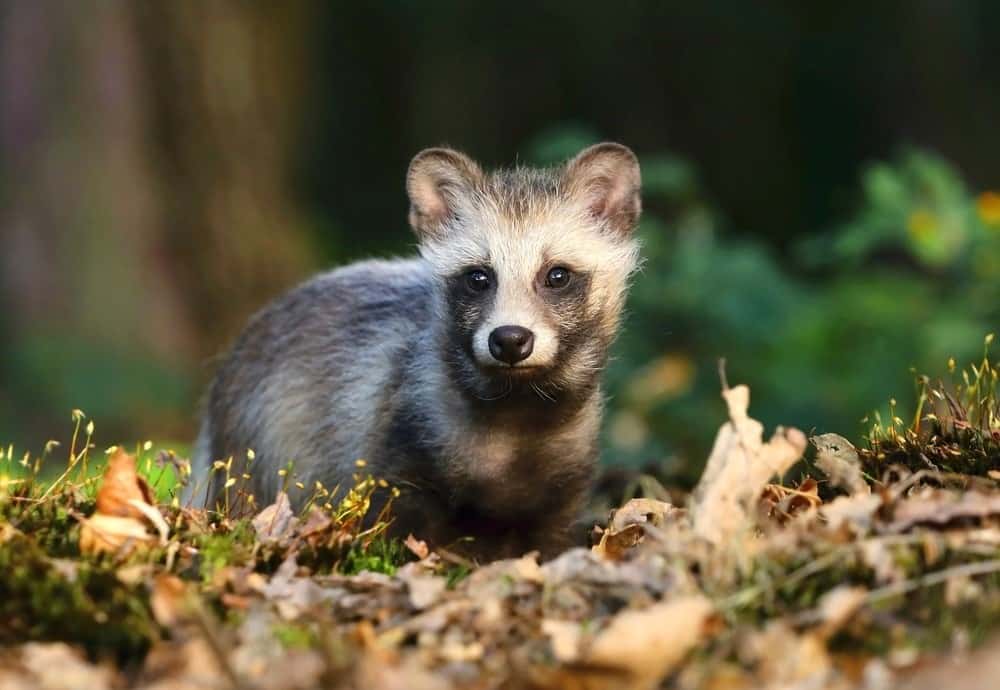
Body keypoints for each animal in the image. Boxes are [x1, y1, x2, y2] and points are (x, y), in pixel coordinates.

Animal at [189, 142, 640, 556]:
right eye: (478, 277)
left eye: (557, 275)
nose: (510, 339)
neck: (517, 420)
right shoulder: (394, 444)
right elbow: (393, 528)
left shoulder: (565, 477)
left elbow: (550, 540)